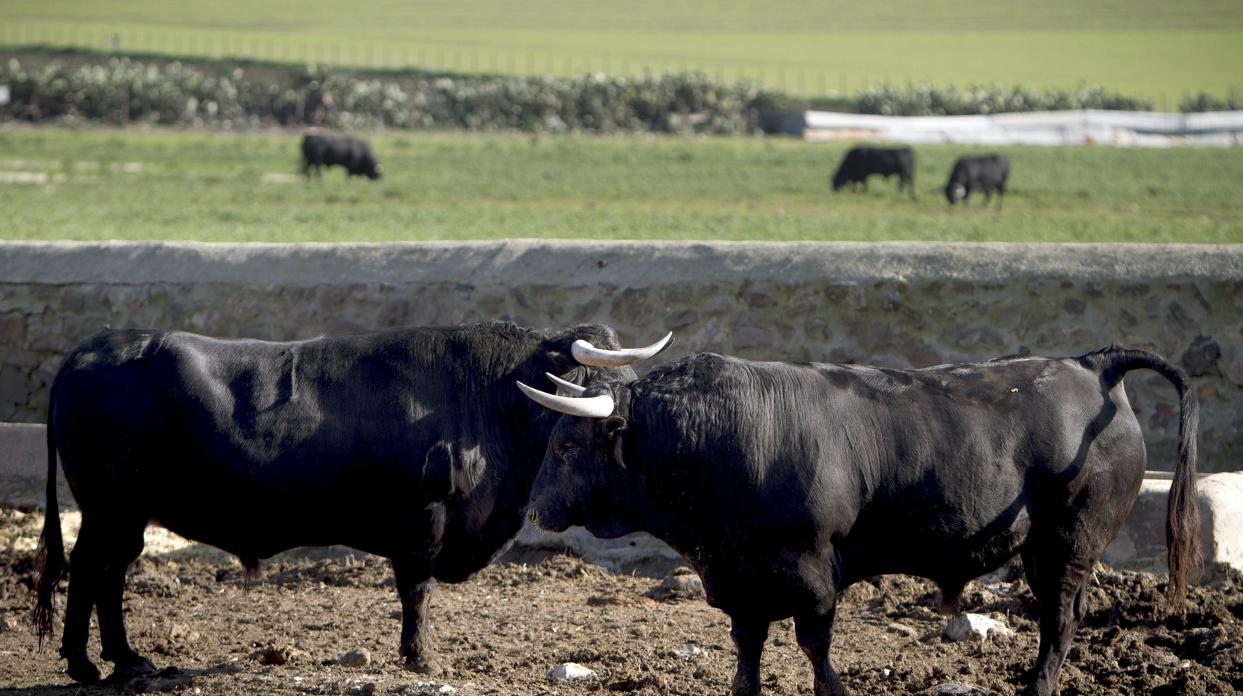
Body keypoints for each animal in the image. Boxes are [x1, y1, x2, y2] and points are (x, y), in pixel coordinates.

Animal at [31, 323, 671, 681]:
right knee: (89, 570)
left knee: (111, 574)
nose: (634, 421)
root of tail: (93, 349)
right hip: (109, 508)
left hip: (125, 515)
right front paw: (420, 659)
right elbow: (416, 593)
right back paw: (86, 665)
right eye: (599, 380)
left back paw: (127, 660)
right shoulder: (422, 521)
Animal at [519, 345, 1198, 696]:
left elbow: (814, 645)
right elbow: (747, 647)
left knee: (1059, 619)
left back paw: (1038, 689)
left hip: (1067, 544)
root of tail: (1092, 364)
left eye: (566, 446)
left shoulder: (814, 572)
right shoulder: (738, 579)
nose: (533, 508)